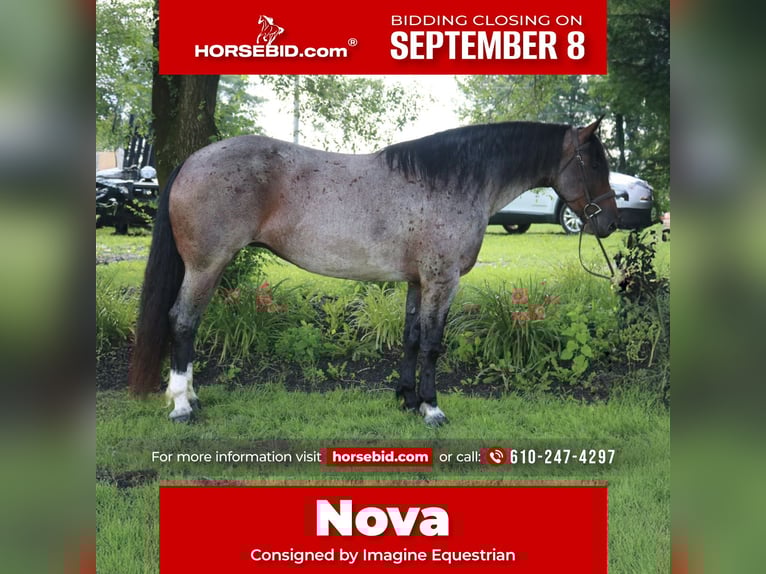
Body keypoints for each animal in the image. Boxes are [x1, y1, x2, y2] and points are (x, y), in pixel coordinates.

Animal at [128, 118, 618, 426]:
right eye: (595, 163)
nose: (611, 221)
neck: (453, 182)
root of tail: (193, 160)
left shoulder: (418, 281)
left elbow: (412, 339)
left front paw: (407, 399)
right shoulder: (442, 281)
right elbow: (433, 344)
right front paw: (432, 409)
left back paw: (191, 397)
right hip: (206, 265)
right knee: (183, 322)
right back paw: (182, 405)